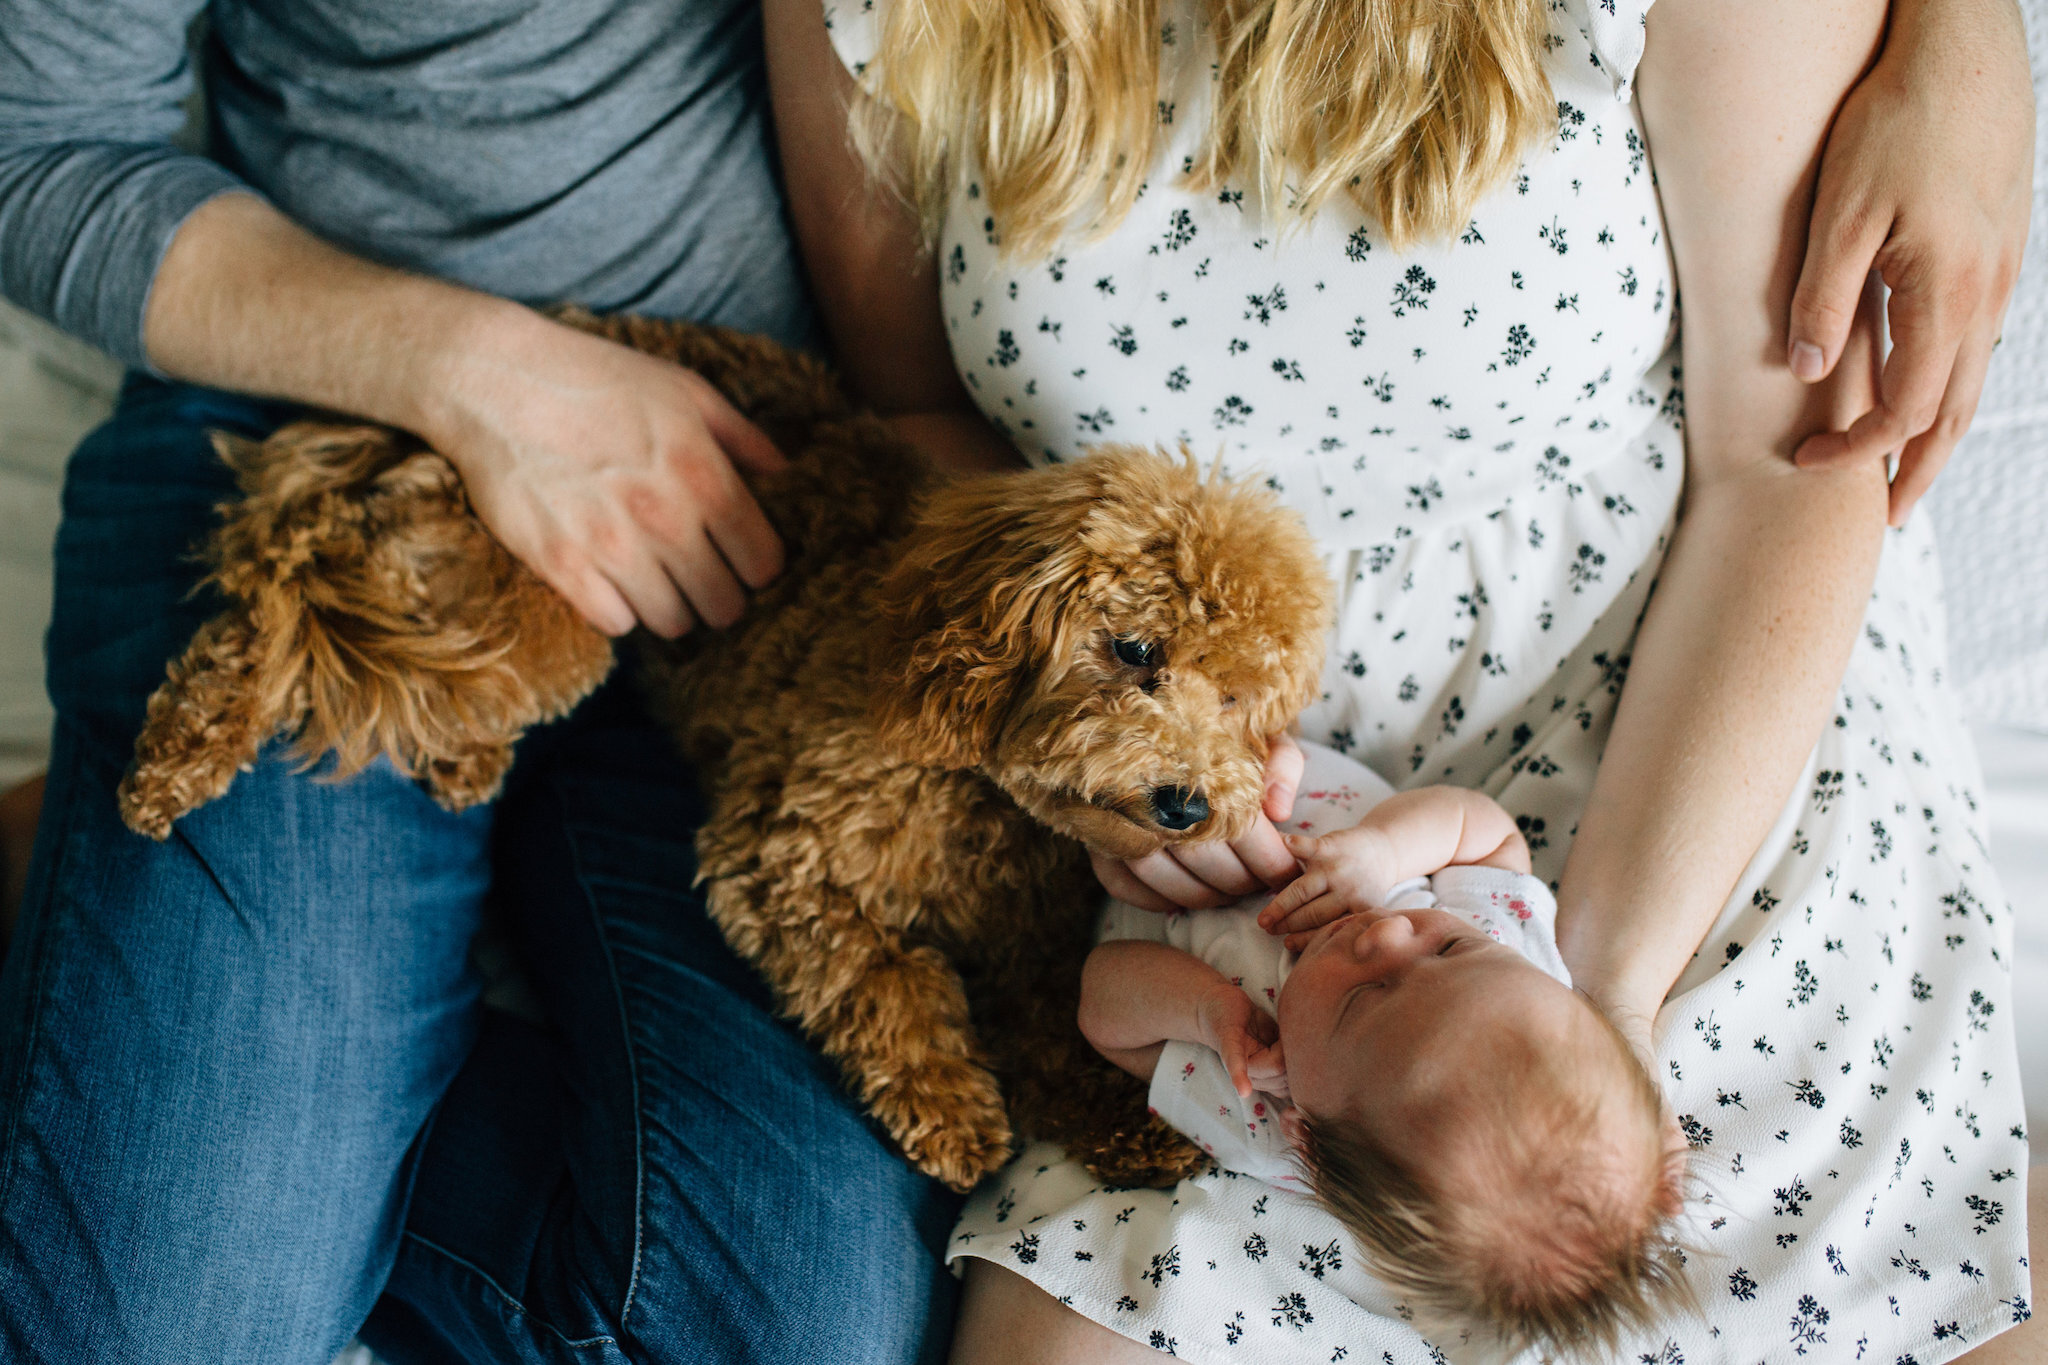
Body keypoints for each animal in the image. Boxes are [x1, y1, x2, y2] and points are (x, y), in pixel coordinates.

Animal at [119, 315, 1335, 1186]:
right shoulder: (779, 860)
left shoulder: (1031, 954)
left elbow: (1059, 1034)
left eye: (1240, 701)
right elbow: (884, 981)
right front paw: (950, 1113)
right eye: (1134, 649)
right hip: (539, 613)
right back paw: (173, 767)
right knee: (274, 629)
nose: (1189, 802)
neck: (981, 793)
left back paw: (457, 760)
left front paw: (1132, 1128)